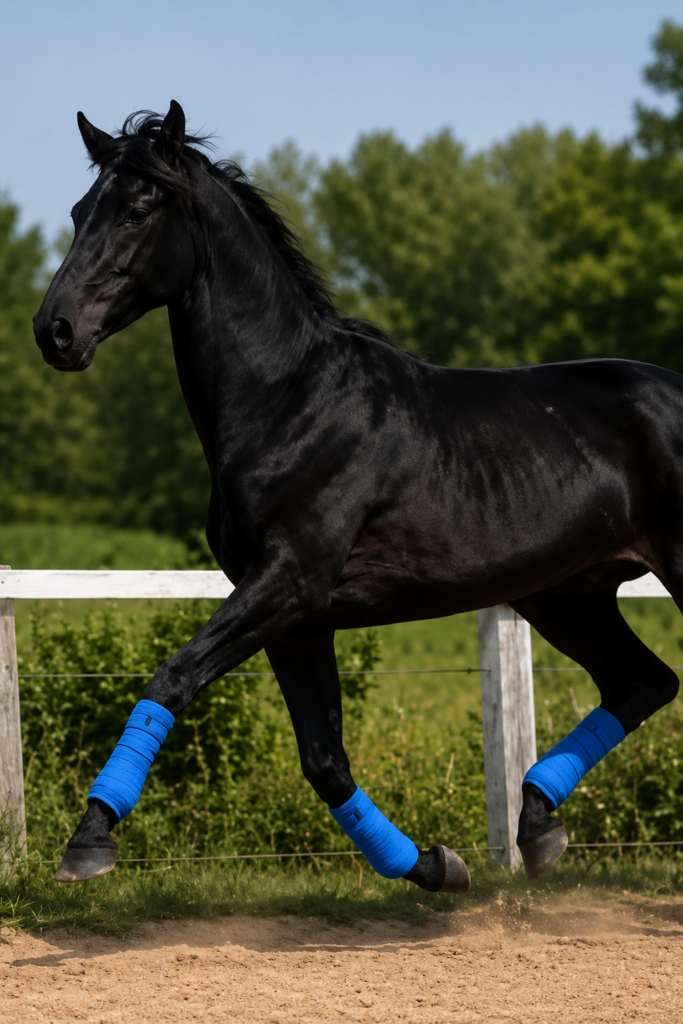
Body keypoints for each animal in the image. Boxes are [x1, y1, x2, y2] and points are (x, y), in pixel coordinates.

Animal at [33, 101, 681, 890]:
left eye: (136, 210)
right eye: (78, 212)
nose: (54, 331)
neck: (290, 402)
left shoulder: (290, 582)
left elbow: (171, 679)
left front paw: (90, 839)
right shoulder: (297, 619)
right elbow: (323, 761)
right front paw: (435, 867)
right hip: (568, 594)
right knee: (642, 683)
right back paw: (536, 825)